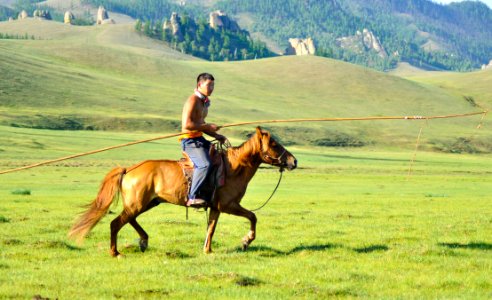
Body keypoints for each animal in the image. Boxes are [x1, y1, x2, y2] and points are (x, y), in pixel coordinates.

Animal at [68, 127, 296, 258]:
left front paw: (207, 250)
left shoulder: (216, 207)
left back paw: (143, 240)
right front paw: (246, 240)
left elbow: (211, 229)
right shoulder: (229, 205)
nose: (294, 161)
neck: (234, 167)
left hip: (146, 203)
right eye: (274, 144)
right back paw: (116, 252)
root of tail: (129, 169)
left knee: (129, 220)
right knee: (116, 223)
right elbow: (253, 216)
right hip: (138, 204)